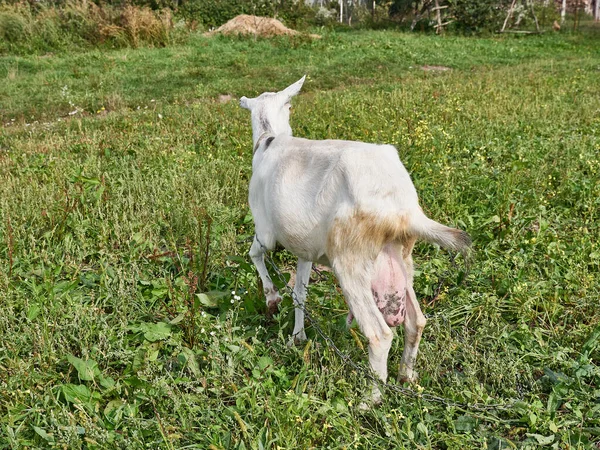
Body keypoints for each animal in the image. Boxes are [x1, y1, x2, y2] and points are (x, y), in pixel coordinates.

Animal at [239, 74, 468, 404]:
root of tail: (404, 207)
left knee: (380, 334)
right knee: (416, 321)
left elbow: (256, 254)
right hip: (402, 256)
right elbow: (300, 293)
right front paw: (298, 337)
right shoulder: (305, 247)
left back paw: (368, 401)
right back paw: (406, 377)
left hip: (351, 258)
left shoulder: (265, 230)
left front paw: (271, 299)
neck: (268, 139)